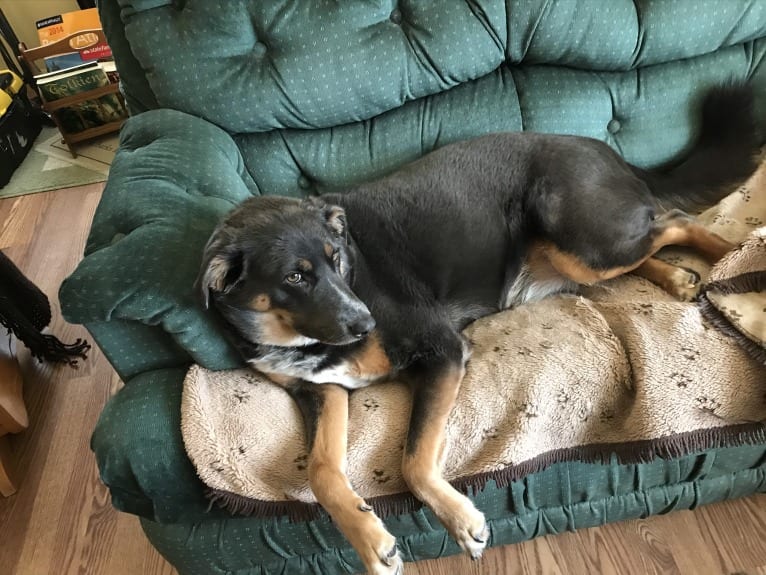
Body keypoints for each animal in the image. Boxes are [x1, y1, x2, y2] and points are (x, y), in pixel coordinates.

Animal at [198, 86, 760, 575]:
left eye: (337, 259)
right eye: (295, 277)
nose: (365, 323)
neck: (295, 339)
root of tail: (606, 151)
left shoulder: (442, 351)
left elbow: (413, 460)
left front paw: (461, 521)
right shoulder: (325, 391)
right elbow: (320, 471)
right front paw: (371, 541)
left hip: (580, 238)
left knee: (673, 219)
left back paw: (732, 252)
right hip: (576, 258)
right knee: (647, 243)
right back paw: (680, 277)